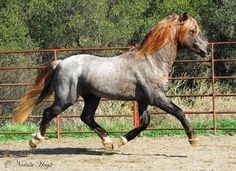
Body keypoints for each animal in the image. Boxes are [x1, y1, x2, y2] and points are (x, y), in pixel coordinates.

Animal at [12, 13, 208, 150]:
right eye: (192, 31)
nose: (206, 49)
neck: (152, 60)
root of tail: (61, 63)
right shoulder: (156, 97)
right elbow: (179, 112)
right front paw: (194, 139)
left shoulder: (143, 100)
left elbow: (144, 123)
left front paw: (122, 141)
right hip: (66, 98)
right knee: (48, 112)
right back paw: (34, 141)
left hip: (92, 97)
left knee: (86, 117)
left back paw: (109, 142)